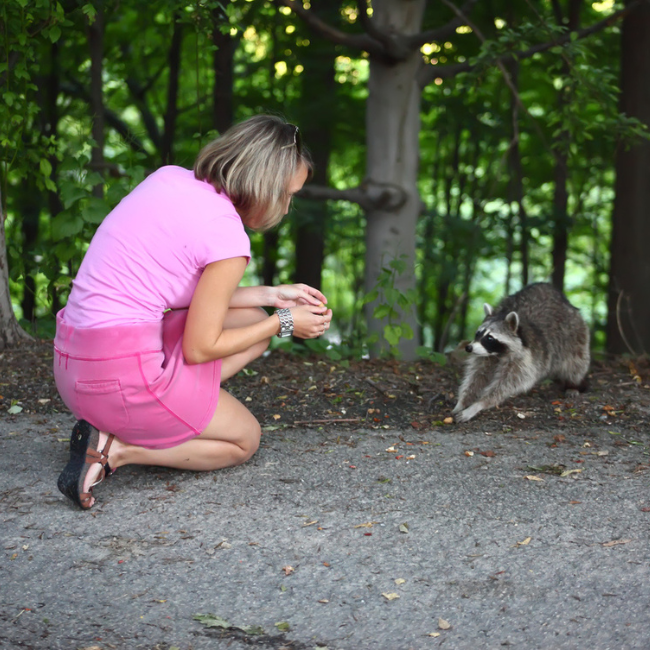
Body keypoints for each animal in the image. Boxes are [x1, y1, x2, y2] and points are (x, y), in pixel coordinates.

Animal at [453, 283, 590, 422]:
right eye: (478, 334)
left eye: (490, 338)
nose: (469, 348)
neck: (498, 354)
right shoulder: (485, 356)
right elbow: (476, 376)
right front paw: (463, 400)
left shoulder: (524, 360)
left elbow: (505, 385)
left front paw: (479, 404)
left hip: (575, 335)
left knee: (575, 363)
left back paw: (573, 384)